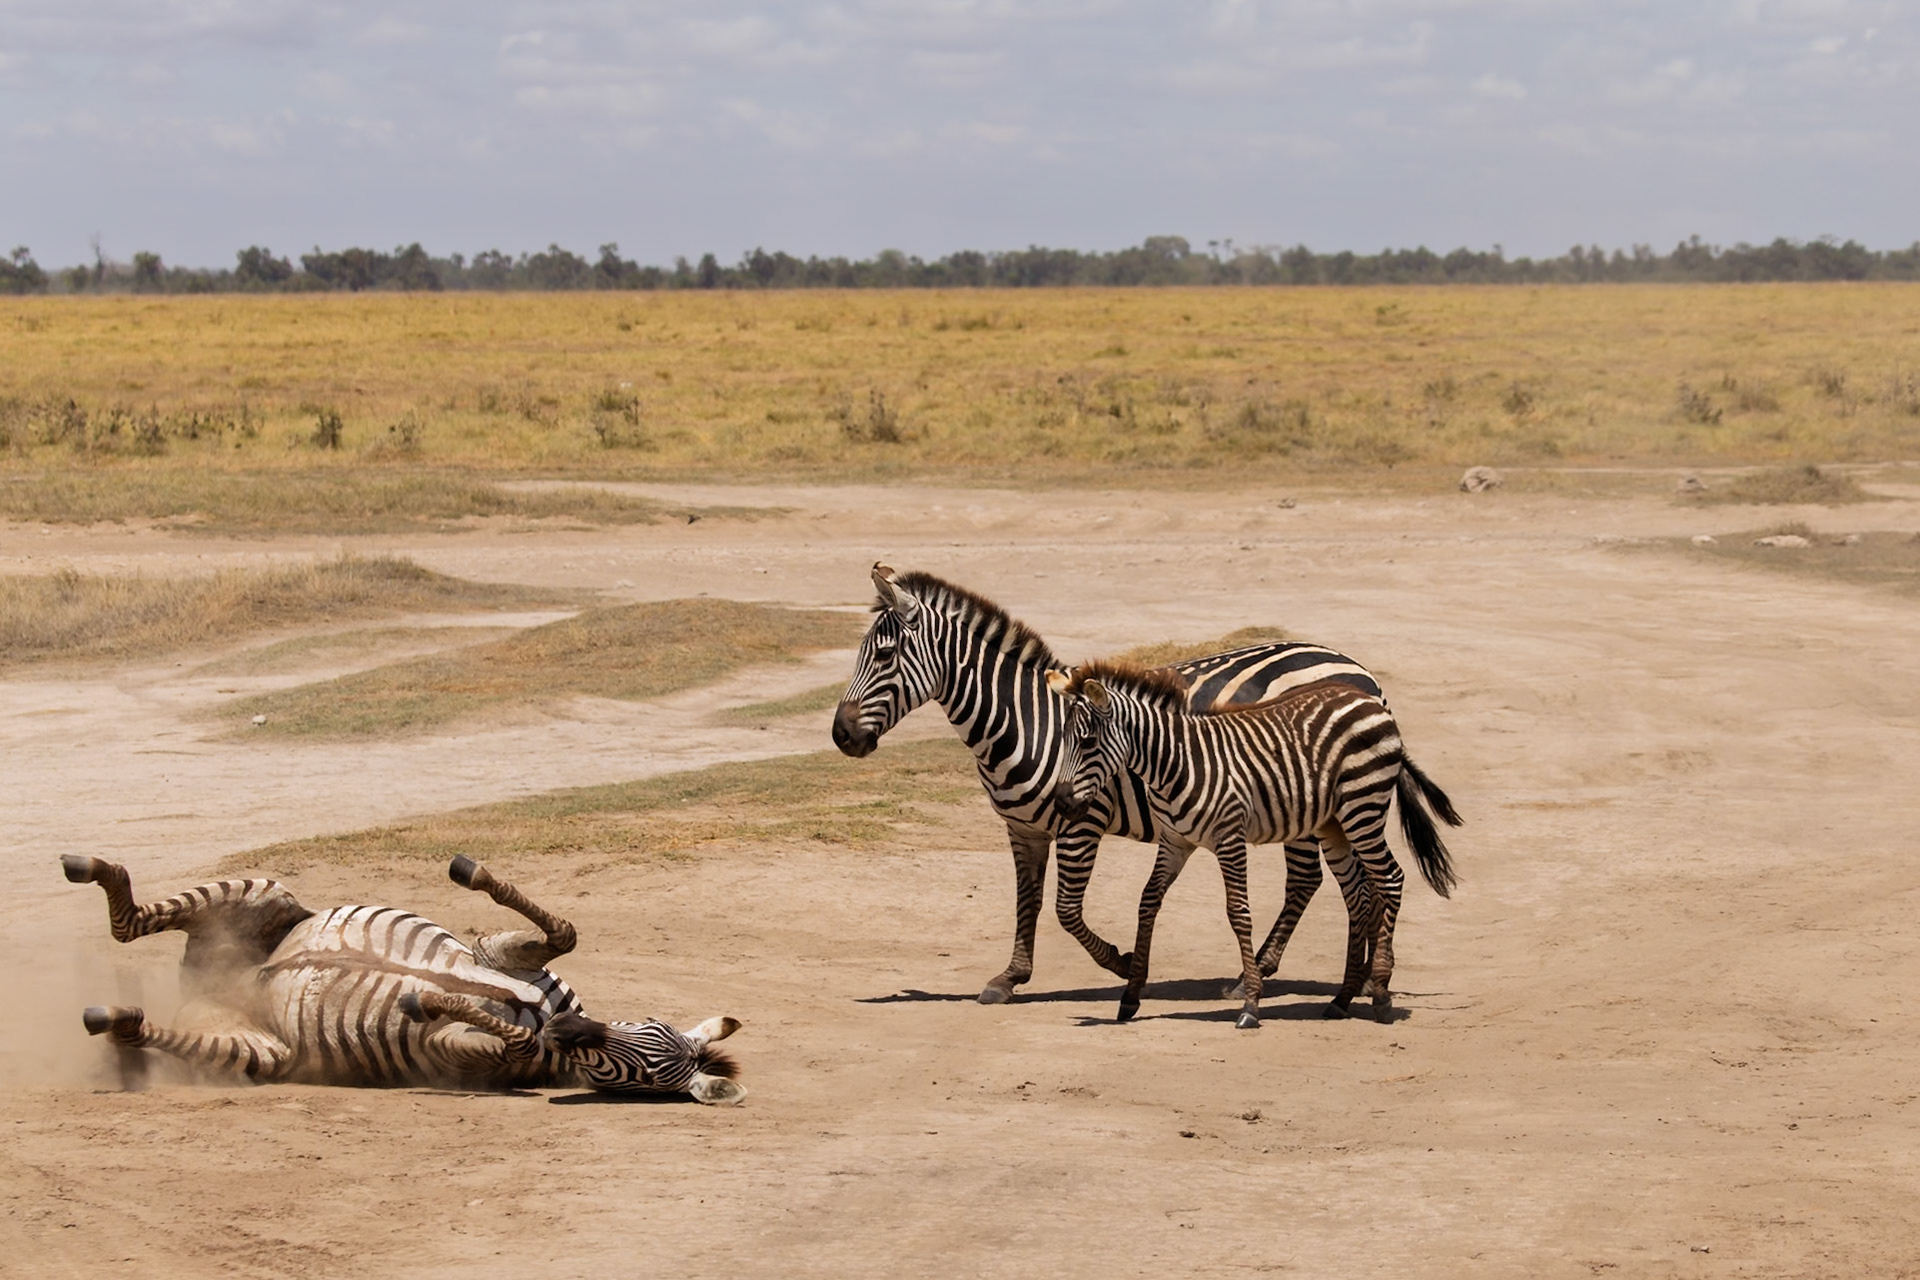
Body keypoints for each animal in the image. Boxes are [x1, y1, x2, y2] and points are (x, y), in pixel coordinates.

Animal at [64, 853, 746, 1103]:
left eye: (639, 1079)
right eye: (645, 1027)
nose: (569, 1031)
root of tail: (206, 986)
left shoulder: (463, 1055)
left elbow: (505, 1033)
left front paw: (422, 998)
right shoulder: (504, 958)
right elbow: (563, 931)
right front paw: (468, 871)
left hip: (259, 1049)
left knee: (137, 993)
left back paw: (113, 1016)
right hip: (269, 894)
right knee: (129, 922)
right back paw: (92, 867)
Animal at [831, 562, 1385, 1004]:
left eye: (883, 656)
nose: (840, 736)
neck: (1026, 723)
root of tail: (1354, 666)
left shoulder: (1082, 821)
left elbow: (1065, 910)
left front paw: (1120, 963)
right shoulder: (1022, 829)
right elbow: (1027, 901)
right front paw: (1010, 977)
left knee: (1311, 879)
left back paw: (1276, 975)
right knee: (1336, 878)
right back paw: (1333, 975)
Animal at [1048, 661, 1461, 1028]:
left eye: (1087, 742)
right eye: (1064, 741)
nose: (1063, 804)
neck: (1176, 764)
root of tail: (1370, 701)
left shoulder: (1229, 837)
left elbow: (1238, 913)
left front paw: (1250, 1004)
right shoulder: (1175, 841)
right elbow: (1148, 902)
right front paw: (1131, 995)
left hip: (1362, 809)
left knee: (1391, 879)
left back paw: (1381, 995)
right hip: (1333, 825)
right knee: (1358, 894)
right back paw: (1342, 998)